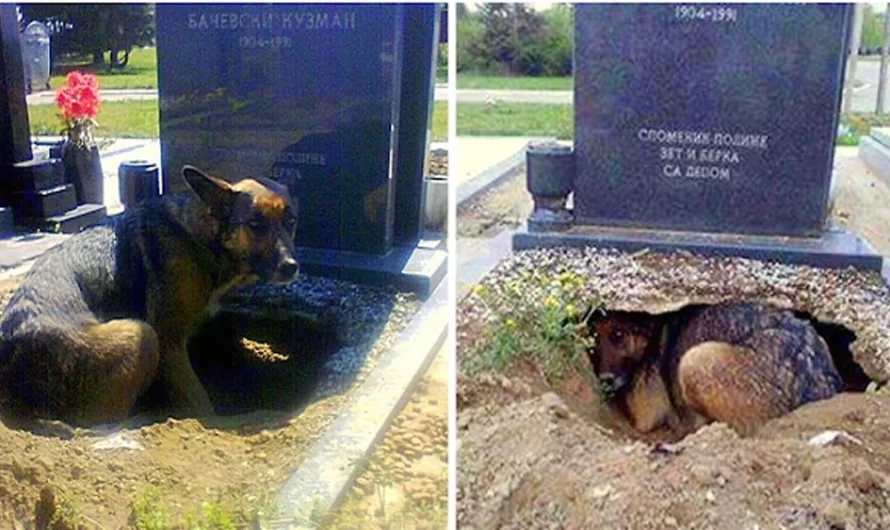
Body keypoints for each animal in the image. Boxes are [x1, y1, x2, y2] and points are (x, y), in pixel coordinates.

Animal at [0, 167, 298, 426]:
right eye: (256, 223)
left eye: (291, 221)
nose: (291, 267)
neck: (199, 238)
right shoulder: (169, 343)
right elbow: (200, 404)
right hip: (139, 334)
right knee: (103, 421)